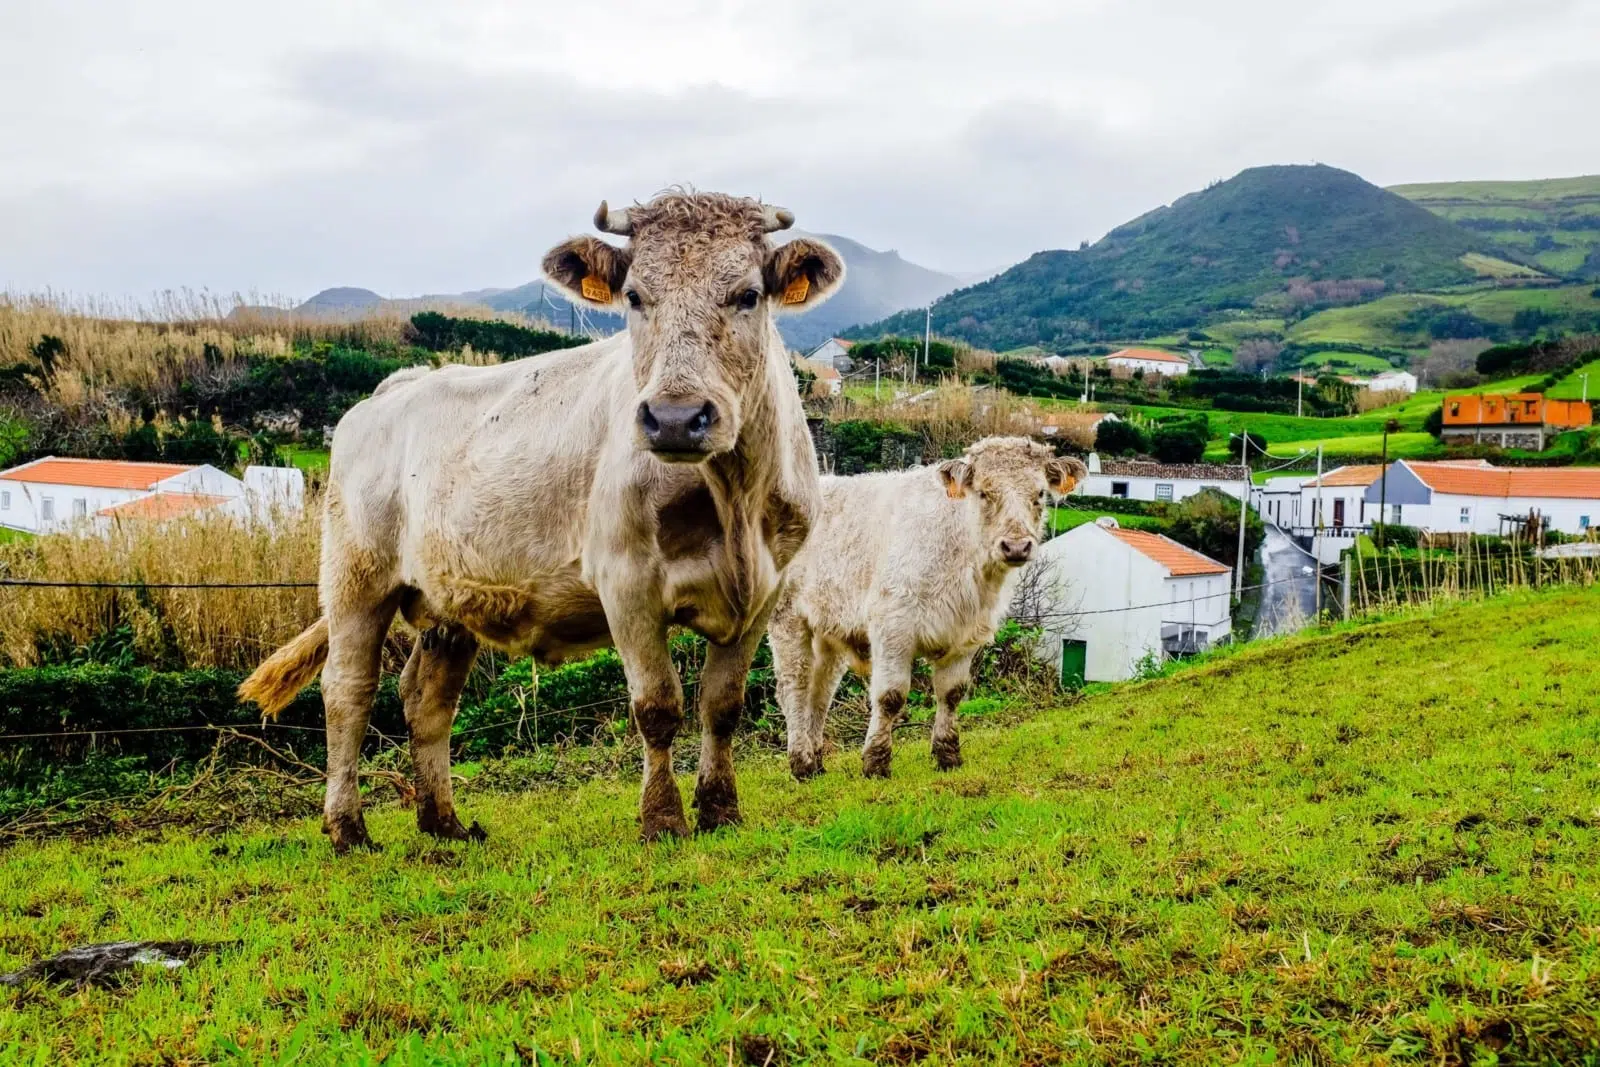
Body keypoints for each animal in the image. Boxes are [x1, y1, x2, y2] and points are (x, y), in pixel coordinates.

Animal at [238, 192, 842, 852]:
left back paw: (443, 823)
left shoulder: (765, 591)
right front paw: (662, 820)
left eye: (748, 295)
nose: (675, 418)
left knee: (426, 700)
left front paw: (720, 810)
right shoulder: (626, 582)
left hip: (448, 600)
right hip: (356, 579)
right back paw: (348, 827)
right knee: (348, 691)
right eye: (635, 297)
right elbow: (658, 707)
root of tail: (395, 388)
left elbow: (722, 705)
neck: (735, 502)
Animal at [769, 437, 1086, 780]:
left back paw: (816, 762)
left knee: (821, 691)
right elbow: (890, 696)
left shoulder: (967, 635)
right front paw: (876, 762)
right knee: (795, 686)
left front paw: (948, 755)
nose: (1016, 546)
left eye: (1039, 493)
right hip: (787, 617)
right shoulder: (893, 628)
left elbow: (952, 693)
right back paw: (801, 762)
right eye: (984, 492)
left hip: (828, 628)